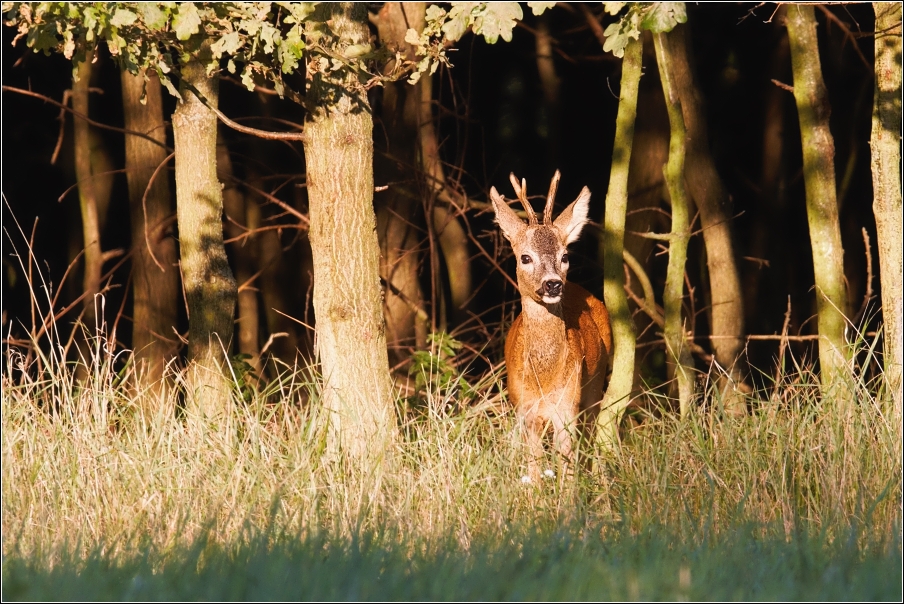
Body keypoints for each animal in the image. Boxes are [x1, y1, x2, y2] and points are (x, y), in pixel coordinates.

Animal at [490, 170, 612, 482]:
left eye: (565, 256)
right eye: (525, 257)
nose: (553, 284)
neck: (543, 379)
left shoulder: (566, 406)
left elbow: (567, 469)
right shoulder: (525, 409)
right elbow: (534, 470)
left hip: (594, 386)